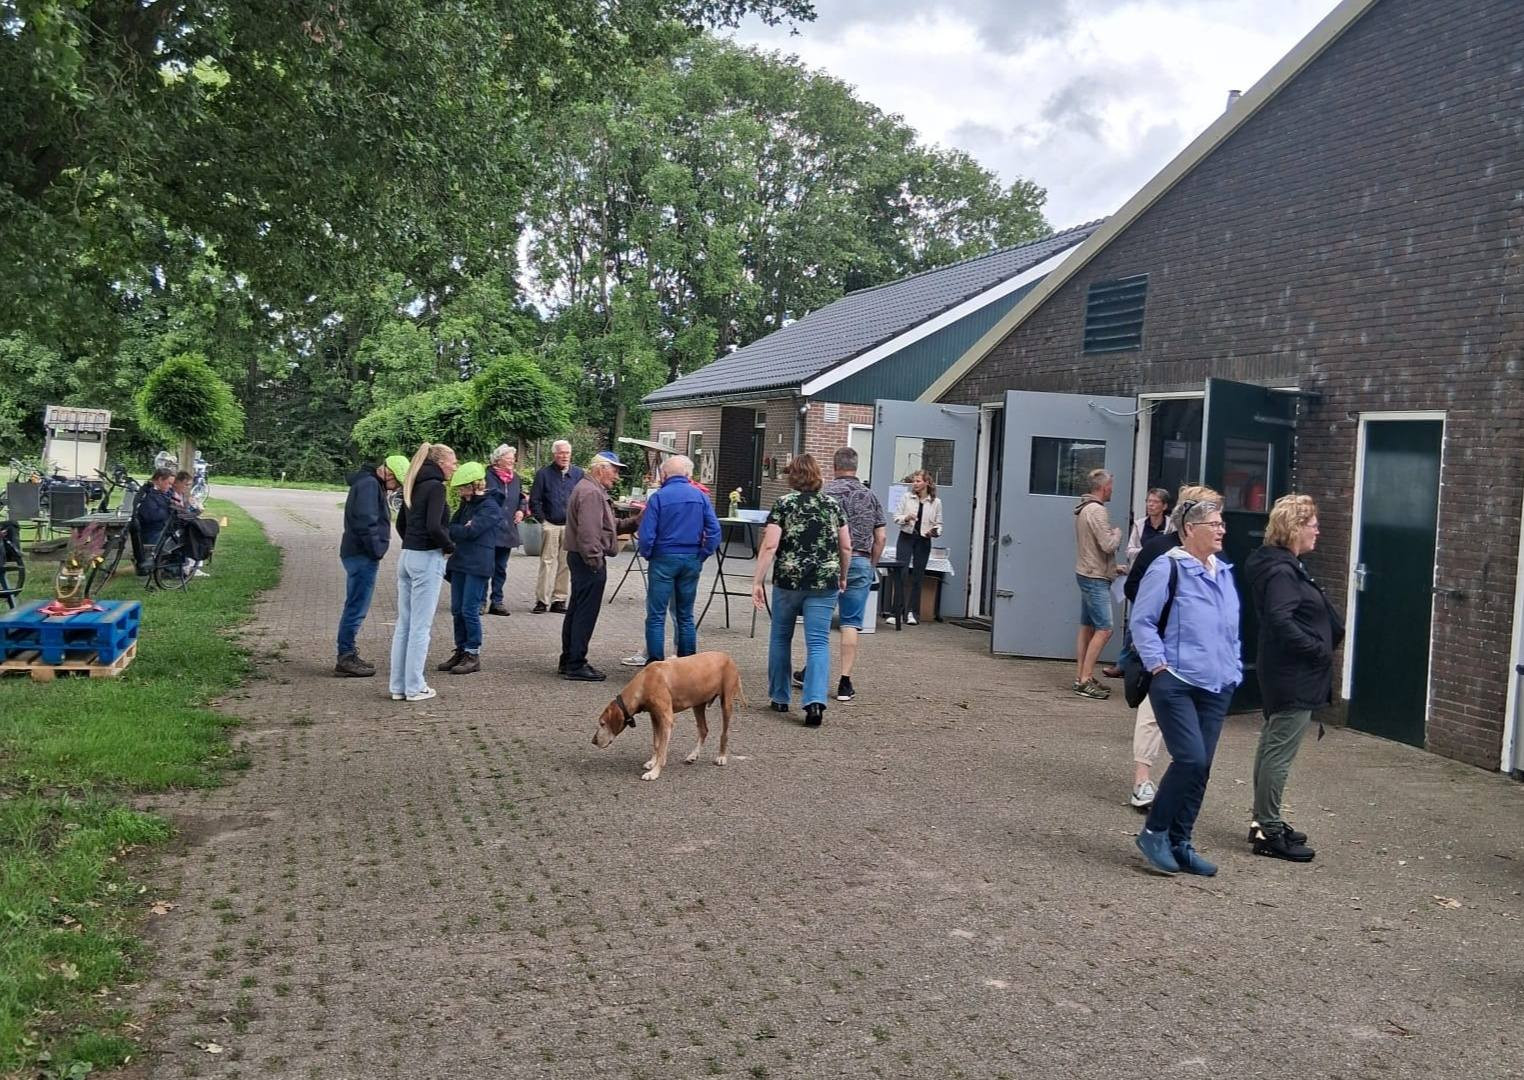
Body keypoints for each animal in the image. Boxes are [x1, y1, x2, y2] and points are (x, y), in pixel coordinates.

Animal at [592, 652, 742, 780]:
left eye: (602, 723)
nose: (593, 741)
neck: (644, 682)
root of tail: (727, 656)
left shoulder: (666, 719)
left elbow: (662, 749)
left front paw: (654, 772)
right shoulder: (654, 716)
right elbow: (656, 743)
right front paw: (652, 762)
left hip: (726, 703)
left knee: (724, 733)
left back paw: (721, 756)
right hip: (698, 704)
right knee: (703, 729)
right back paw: (693, 755)